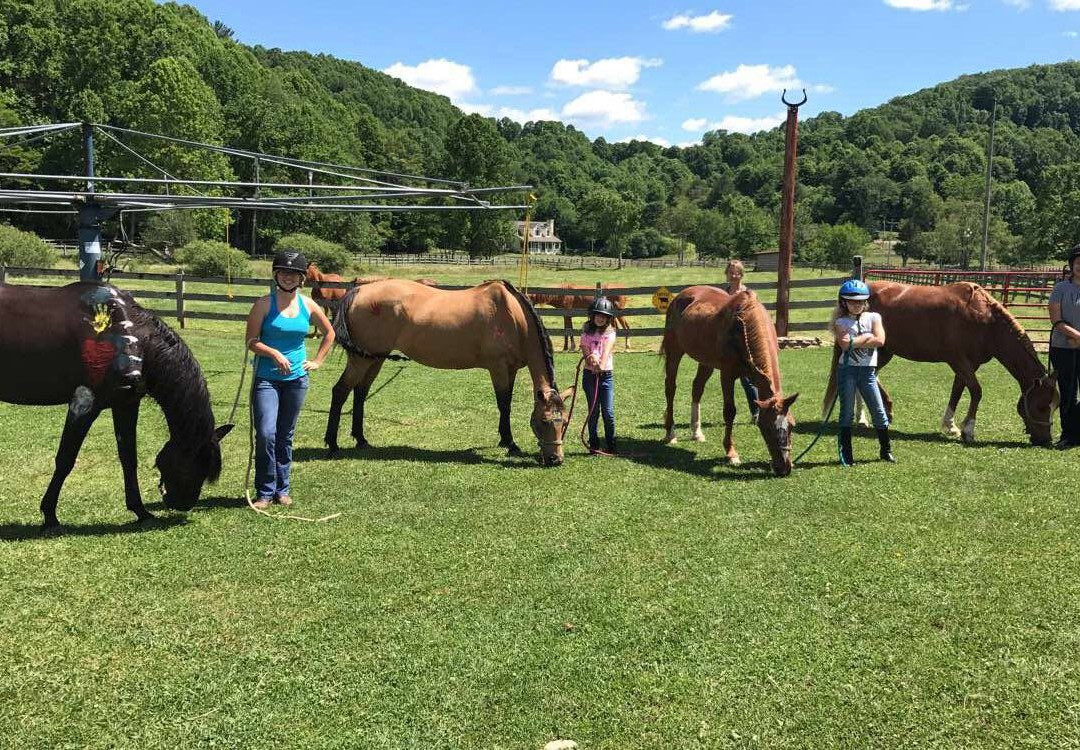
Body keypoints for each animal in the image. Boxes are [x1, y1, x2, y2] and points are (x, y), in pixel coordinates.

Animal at [0, 278, 232, 531]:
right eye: (193, 462)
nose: (183, 504)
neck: (130, 335)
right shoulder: (84, 404)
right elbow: (65, 460)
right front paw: (50, 515)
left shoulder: (125, 404)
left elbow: (129, 458)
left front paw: (141, 511)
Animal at [324, 278, 574, 466]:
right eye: (543, 421)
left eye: (564, 422)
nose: (555, 459)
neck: (514, 317)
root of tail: (358, 290)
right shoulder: (499, 369)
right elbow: (504, 405)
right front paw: (510, 443)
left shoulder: (510, 370)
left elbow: (507, 404)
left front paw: (505, 440)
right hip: (360, 360)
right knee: (340, 391)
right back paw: (332, 444)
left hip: (374, 359)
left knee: (360, 393)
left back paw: (361, 439)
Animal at [652, 287, 799, 475]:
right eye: (766, 428)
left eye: (792, 425)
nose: (784, 468)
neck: (744, 323)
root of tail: (681, 295)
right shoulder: (727, 374)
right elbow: (730, 412)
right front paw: (731, 453)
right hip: (674, 351)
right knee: (670, 388)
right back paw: (670, 433)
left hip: (706, 361)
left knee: (697, 388)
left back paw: (696, 432)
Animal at [820, 280, 1058, 447]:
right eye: (1041, 406)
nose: (1046, 440)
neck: (985, 320)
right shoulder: (959, 361)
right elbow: (976, 391)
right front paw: (968, 431)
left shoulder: (968, 365)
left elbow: (958, 391)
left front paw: (950, 426)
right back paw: (871, 415)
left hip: (883, 351)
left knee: (868, 376)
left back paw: (869, 416)